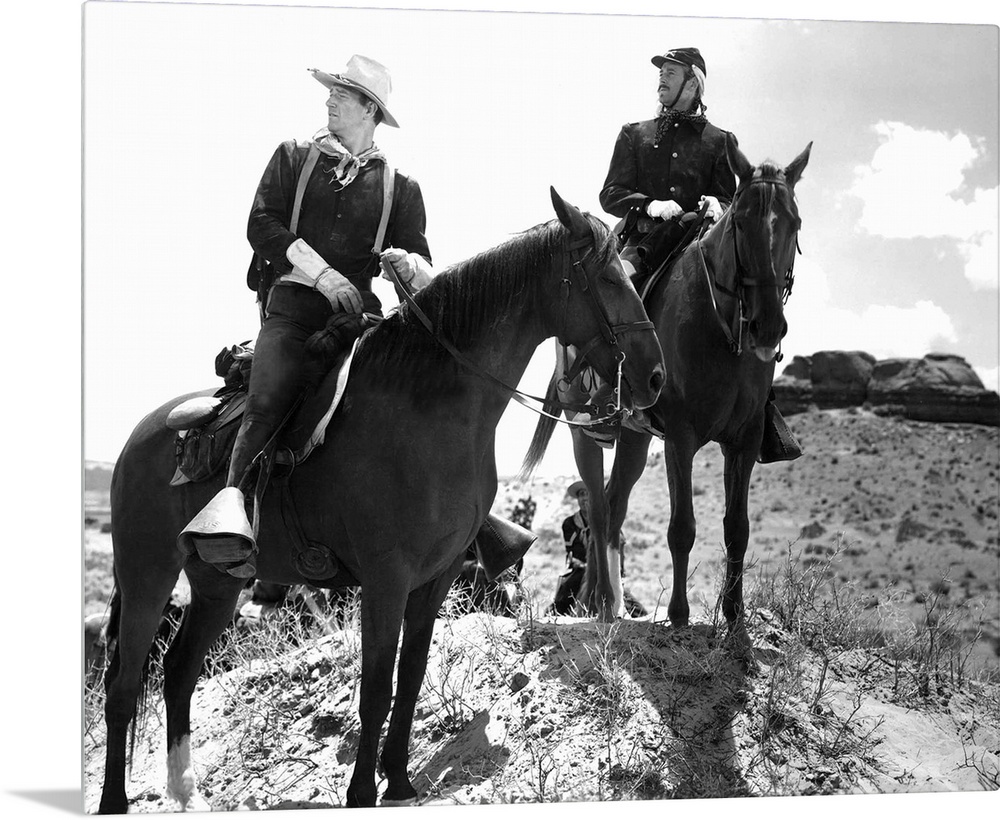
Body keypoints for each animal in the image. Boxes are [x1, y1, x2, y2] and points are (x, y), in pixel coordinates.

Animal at [96, 188, 665, 813]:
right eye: (607, 277)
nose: (655, 377)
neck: (429, 411)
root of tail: (141, 436)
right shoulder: (385, 577)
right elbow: (376, 685)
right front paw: (364, 791)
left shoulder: (436, 576)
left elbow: (410, 677)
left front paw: (399, 780)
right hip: (147, 571)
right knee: (124, 684)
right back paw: (114, 800)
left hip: (217, 582)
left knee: (178, 672)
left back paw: (185, 792)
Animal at [522, 137, 812, 653]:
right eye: (740, 222)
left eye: (794, 222)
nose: (767, 326)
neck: (722, 330)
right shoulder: (681, 437)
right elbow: (682, 528)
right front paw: (678, 615)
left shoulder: (743, 440)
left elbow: (737, 529)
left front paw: (735, 618)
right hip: (586, 433)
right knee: (599, 510)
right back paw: (599, 602)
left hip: (636, 438)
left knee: (615, 503)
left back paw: (607, 602)